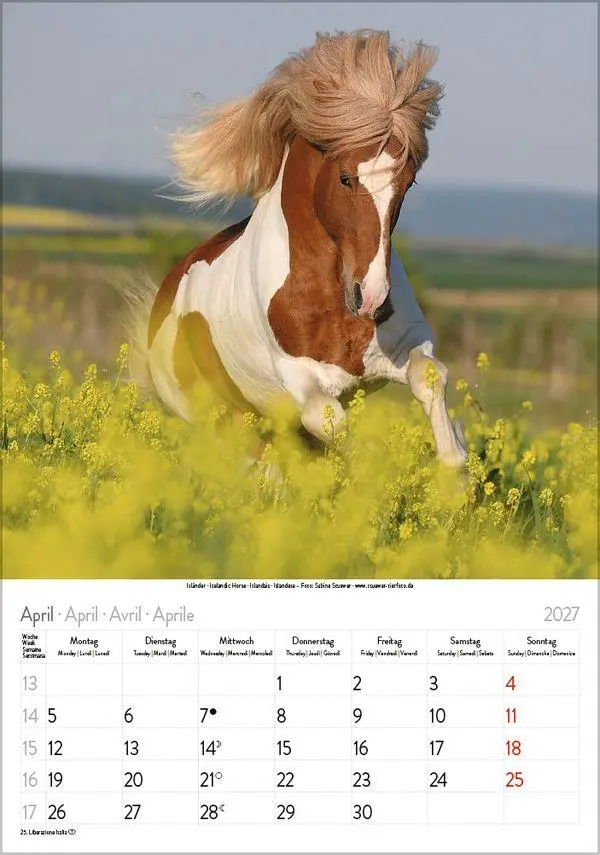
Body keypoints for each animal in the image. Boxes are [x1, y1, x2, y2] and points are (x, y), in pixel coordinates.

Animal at [136, 30, 467, 468]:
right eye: (345, 178)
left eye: (408, 181)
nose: (371, 297)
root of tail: (167, 290)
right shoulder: (299, 376)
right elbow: (328, 420)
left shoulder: (407, 342)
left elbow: (430, 376)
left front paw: (455, 463)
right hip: (213, 418)